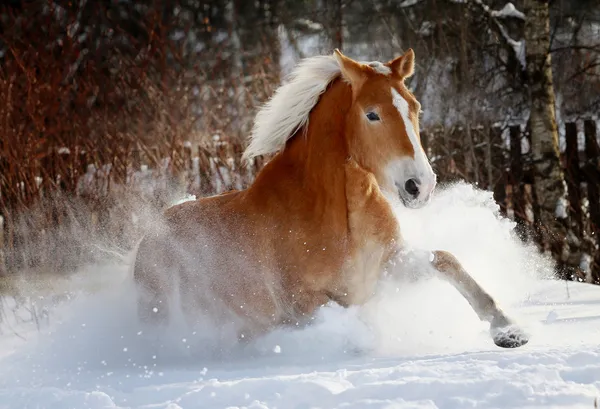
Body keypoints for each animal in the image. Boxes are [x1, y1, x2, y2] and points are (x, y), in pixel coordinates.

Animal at [134, 47, 528, 348]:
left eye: (415, 107)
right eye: (372, 114)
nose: (421, 185)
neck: (343, 219)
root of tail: (147, 239)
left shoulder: (387, 266)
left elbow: (447, 260)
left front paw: (508, 330)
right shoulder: (304, 304)